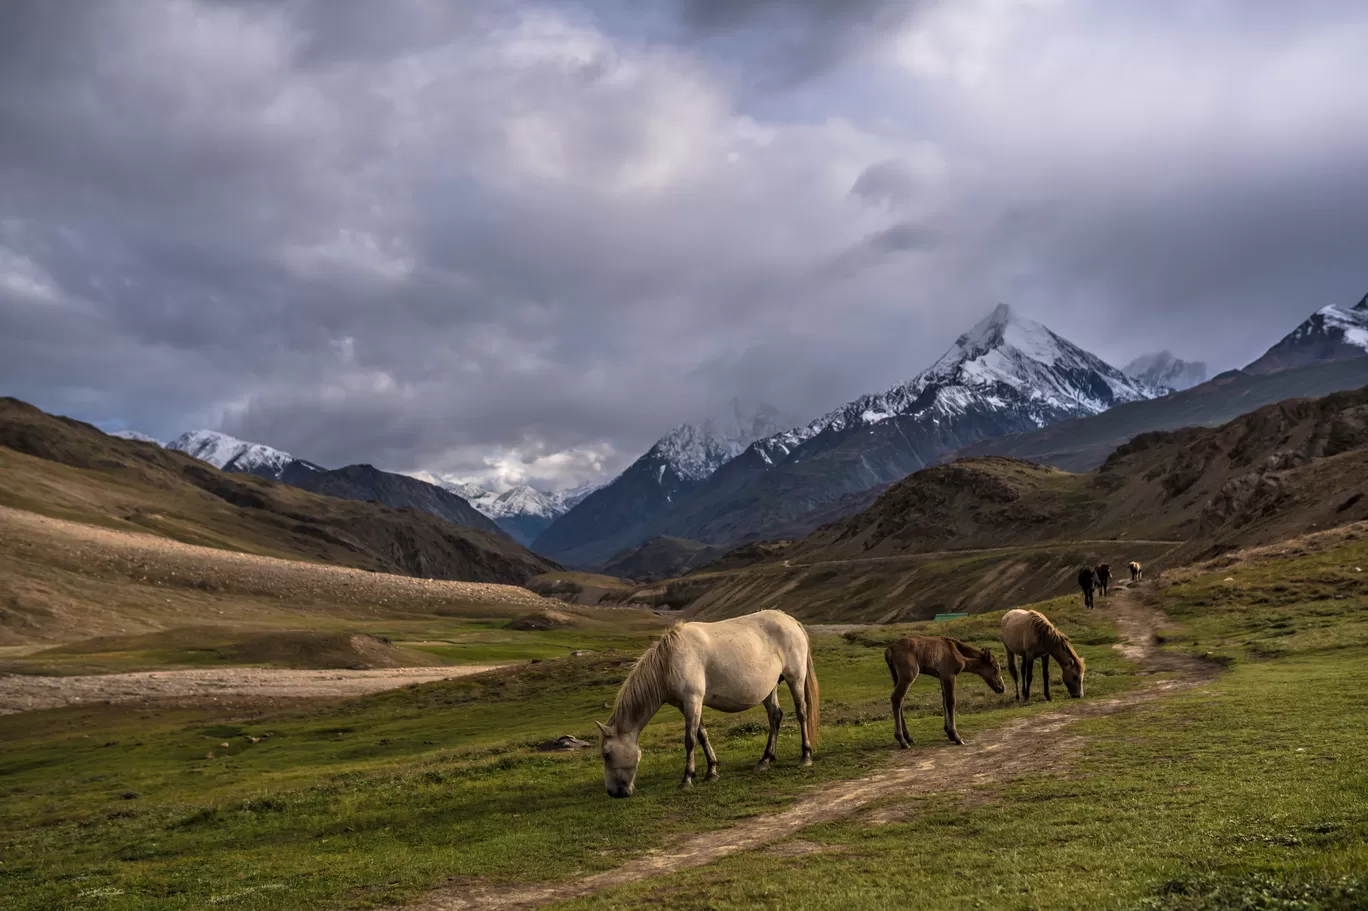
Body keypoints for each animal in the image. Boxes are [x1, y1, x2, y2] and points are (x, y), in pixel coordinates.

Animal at [593, 610, 815, 793]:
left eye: (606, 754)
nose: (614, 792)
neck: (669, 661)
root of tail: (791, 621)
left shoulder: (692, 700)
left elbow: (690, 740)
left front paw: (687, 779)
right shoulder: (687, 705)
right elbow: (702, 735)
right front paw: (712, 771)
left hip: (795, 678)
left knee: (801, 712)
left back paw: (805, 756)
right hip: (769, 687)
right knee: (775, 716)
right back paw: (766, 759)